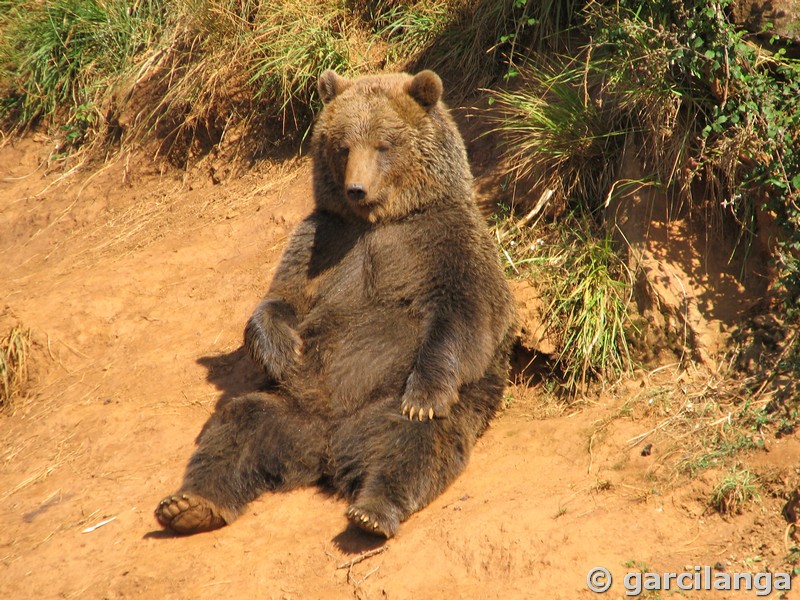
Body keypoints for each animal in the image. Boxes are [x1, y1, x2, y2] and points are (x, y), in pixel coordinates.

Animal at [155, 70, 516, 540]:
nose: (356, 188)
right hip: (291, 405)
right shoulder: (322, 239)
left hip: (385, 406)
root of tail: (326, 447)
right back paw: (191, 504)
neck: (381, 220)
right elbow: (282, 297)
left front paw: (424, 396)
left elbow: (465, 318)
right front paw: (281, 349)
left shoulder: (445, 243)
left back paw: (373, 511)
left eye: (383, 143)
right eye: (342, 145)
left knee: (411, 443)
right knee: (236, 426)